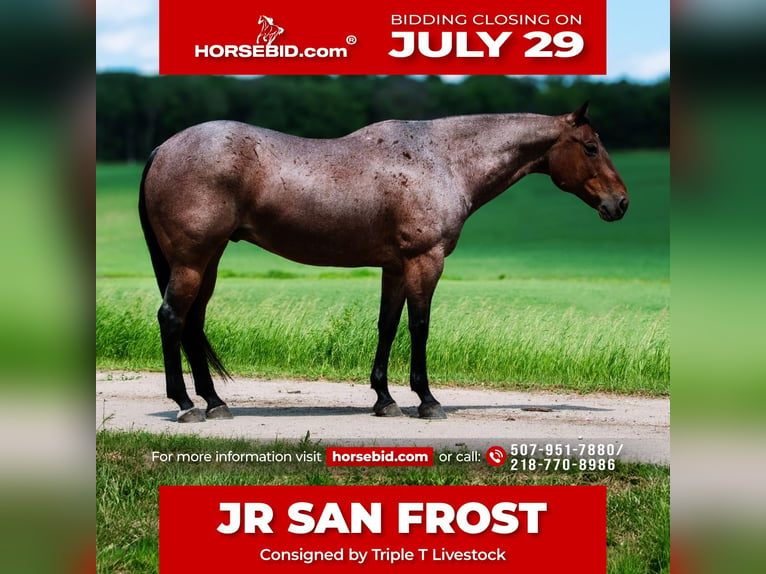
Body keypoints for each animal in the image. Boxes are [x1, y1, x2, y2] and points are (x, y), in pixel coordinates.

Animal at [138, 102, 632, 424]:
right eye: (591, 146)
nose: (621, 203)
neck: (444, 159)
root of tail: (162, 149)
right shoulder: (424, 261)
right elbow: (419, 326)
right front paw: (427, 400)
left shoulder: (395, 267)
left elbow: (387, 325)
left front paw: (383, 398)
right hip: (192, 260)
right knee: (172, 317)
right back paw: (187, 405)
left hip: (208, 260)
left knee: (193, 321)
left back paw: (214, 402)